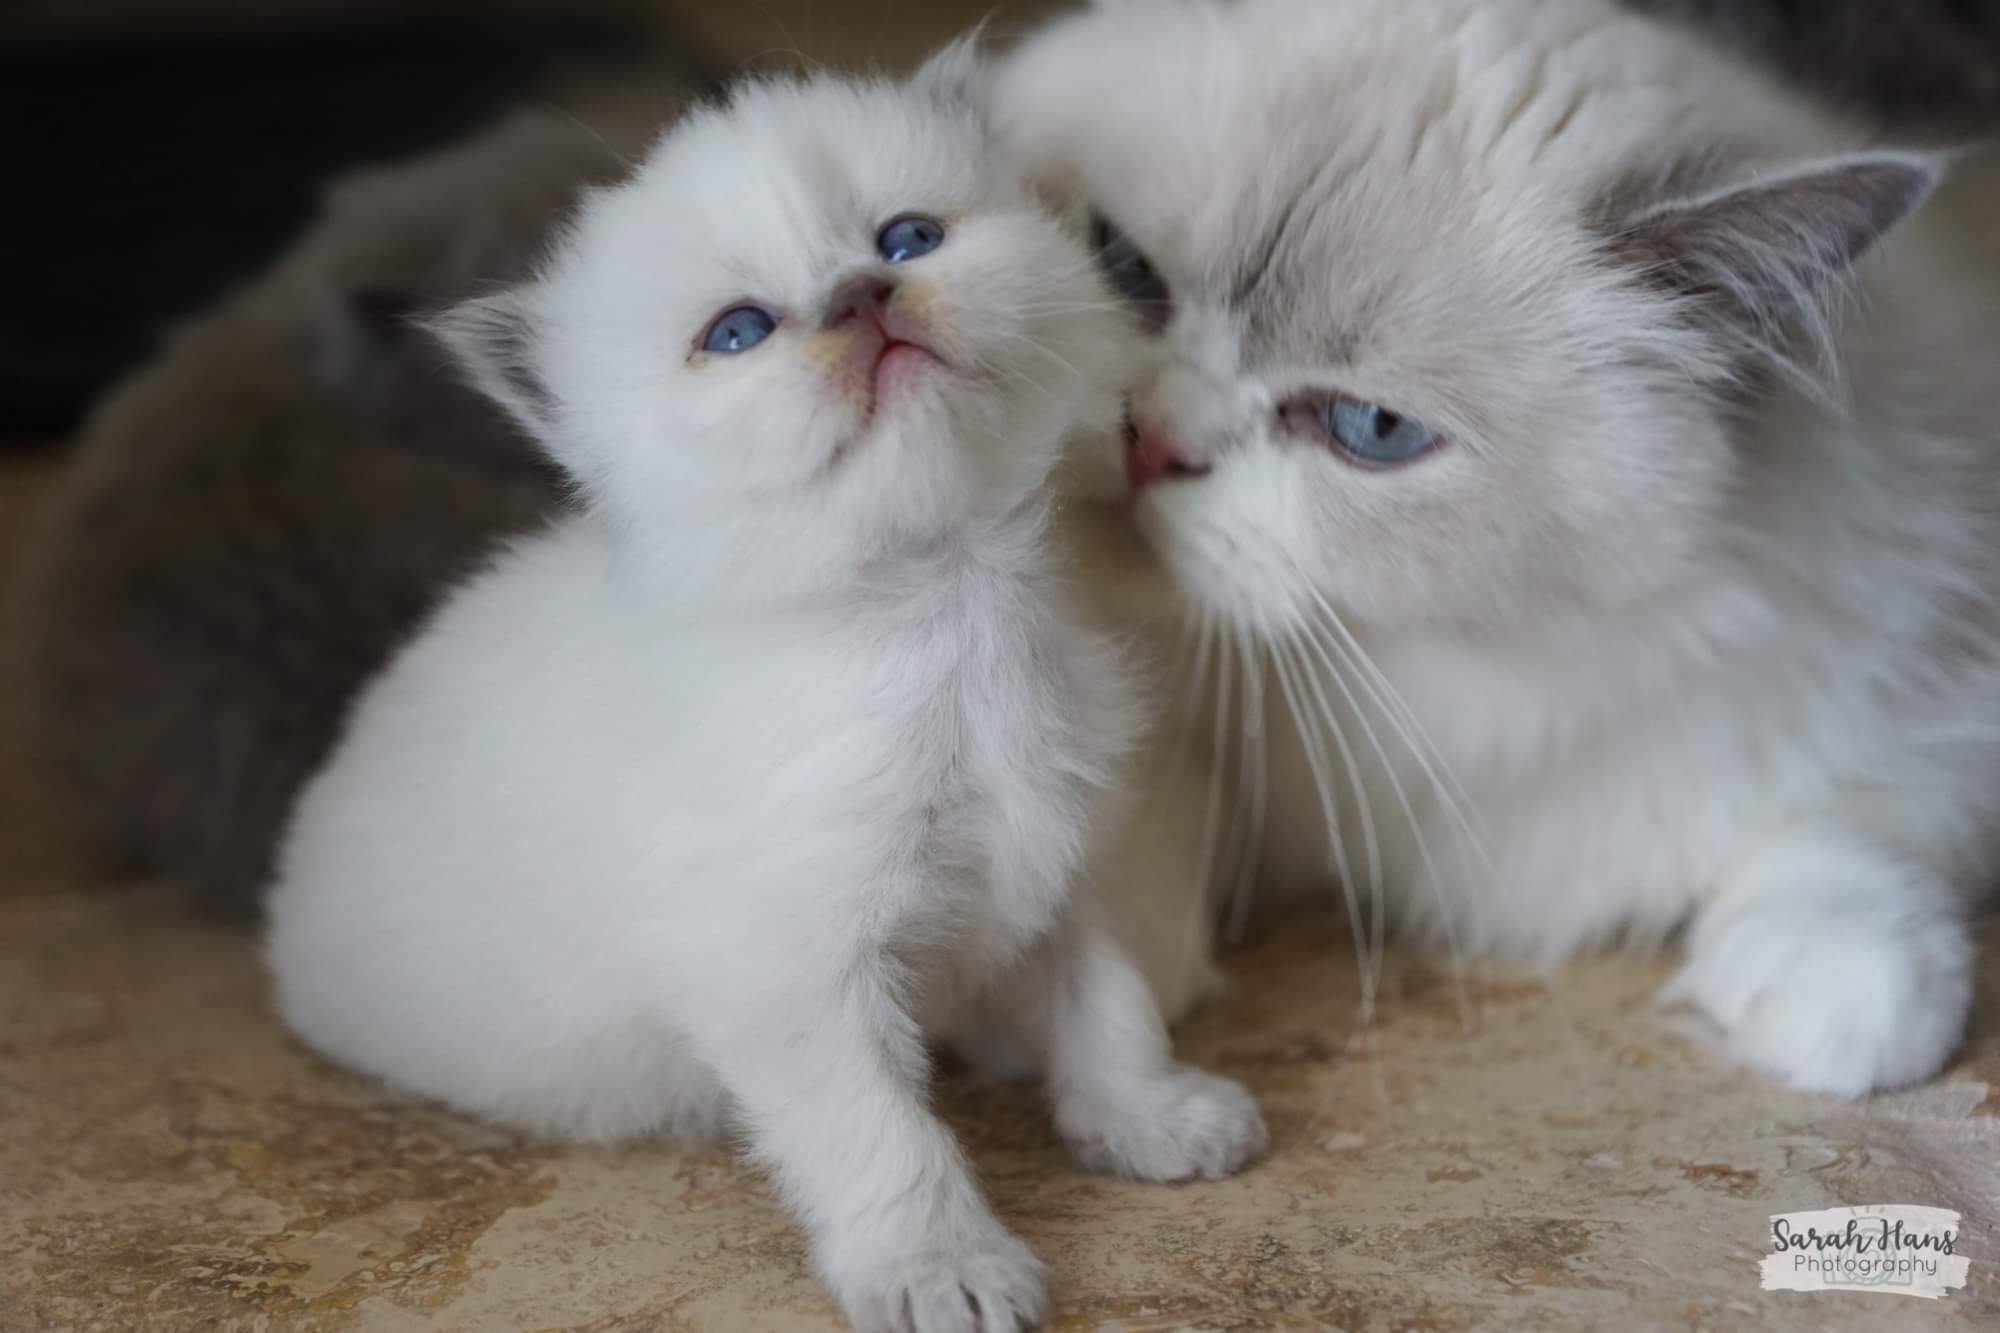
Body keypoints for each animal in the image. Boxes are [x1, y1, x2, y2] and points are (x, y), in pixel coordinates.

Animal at [266, 52, 1264, 1328]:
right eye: (736, 333)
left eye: (906, 237)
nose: (860, 296)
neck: (949, 608)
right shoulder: (785, 966)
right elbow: (882, 1134)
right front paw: (938, 1268)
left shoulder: (1064, 863)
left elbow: (1109, 1003)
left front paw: (1147, 1118)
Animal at [1000, 0, 2000, 1096]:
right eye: (1127, 270)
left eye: (1371, 429)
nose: (1148, 443)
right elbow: (1129, 792)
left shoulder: (1923, 660)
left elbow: (1852, 813)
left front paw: (1836, 1007)